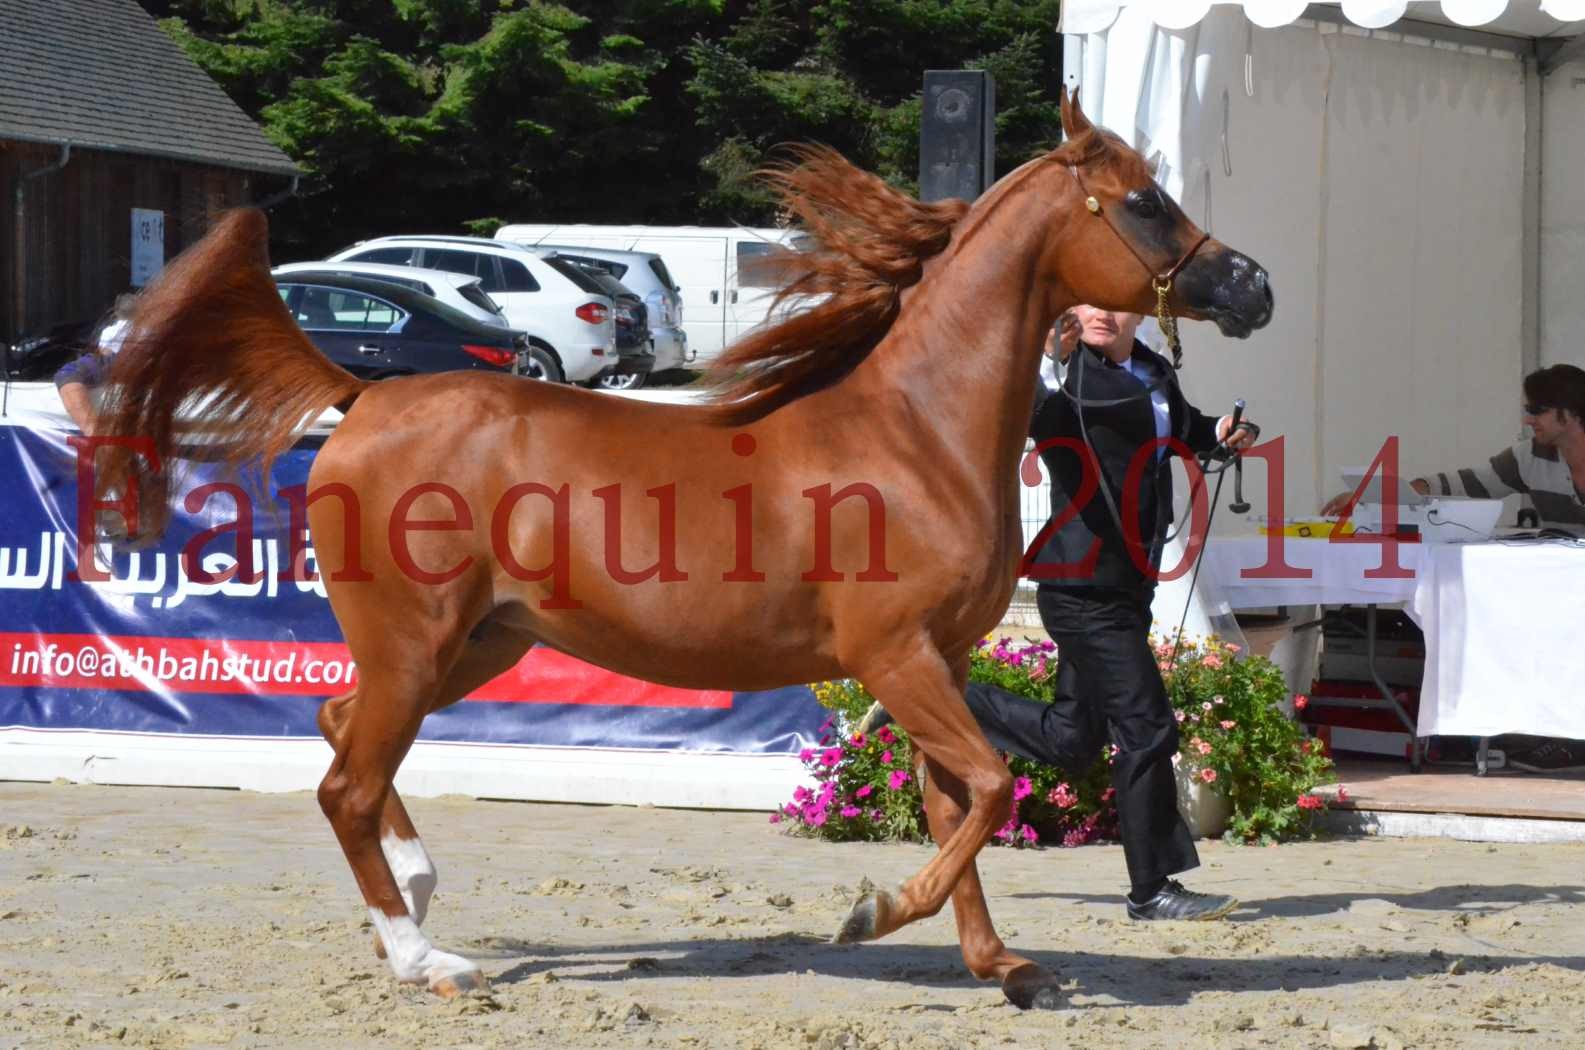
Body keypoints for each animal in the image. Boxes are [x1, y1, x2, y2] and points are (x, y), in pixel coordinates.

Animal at [92, 96, 1268, 1015]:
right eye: (1142, 202)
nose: (1251, 286)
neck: (913, 433)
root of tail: (365, 394)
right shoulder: (894, 657)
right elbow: (986, 789)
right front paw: (871, 912)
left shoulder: (933, 660)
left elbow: (958, 802)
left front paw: (1004, 967)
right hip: (415, 643)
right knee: (344, 781)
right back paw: (427, 959)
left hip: (476, 643)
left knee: (345, 736)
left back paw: (417, 898)